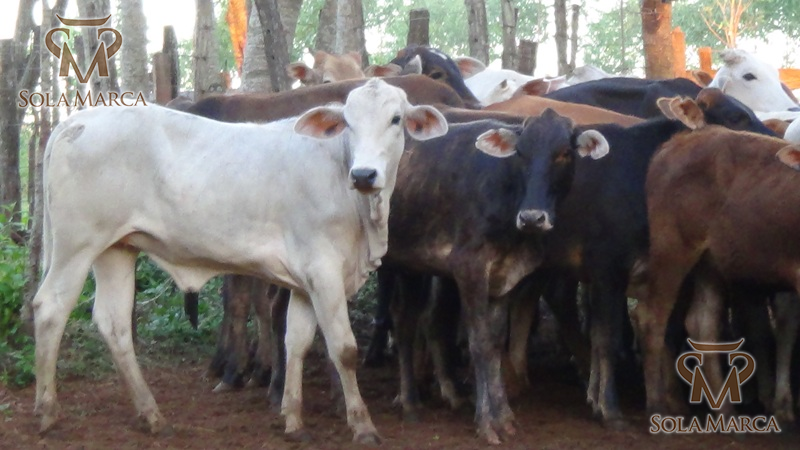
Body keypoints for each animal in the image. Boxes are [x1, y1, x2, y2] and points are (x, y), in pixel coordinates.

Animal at [30, 79, 448, 444]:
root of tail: (73, 121)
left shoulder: (306, 281)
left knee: (113, 322)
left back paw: (151, 415)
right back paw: (48, 412)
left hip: (116, 248)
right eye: (347, 121)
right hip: (77, 244)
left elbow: (296, 342)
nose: (364, 174)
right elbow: (344, 349)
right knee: (50, 309)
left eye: (396, 119)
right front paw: (362, 426)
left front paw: (292, 419)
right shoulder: (325, 271)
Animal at [638, 126, 800, 424]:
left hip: (710, 262)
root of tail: (679, 141)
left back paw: (725, 410)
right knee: (652, 318)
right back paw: (657, 406)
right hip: (673, 249)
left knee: (702, 323)